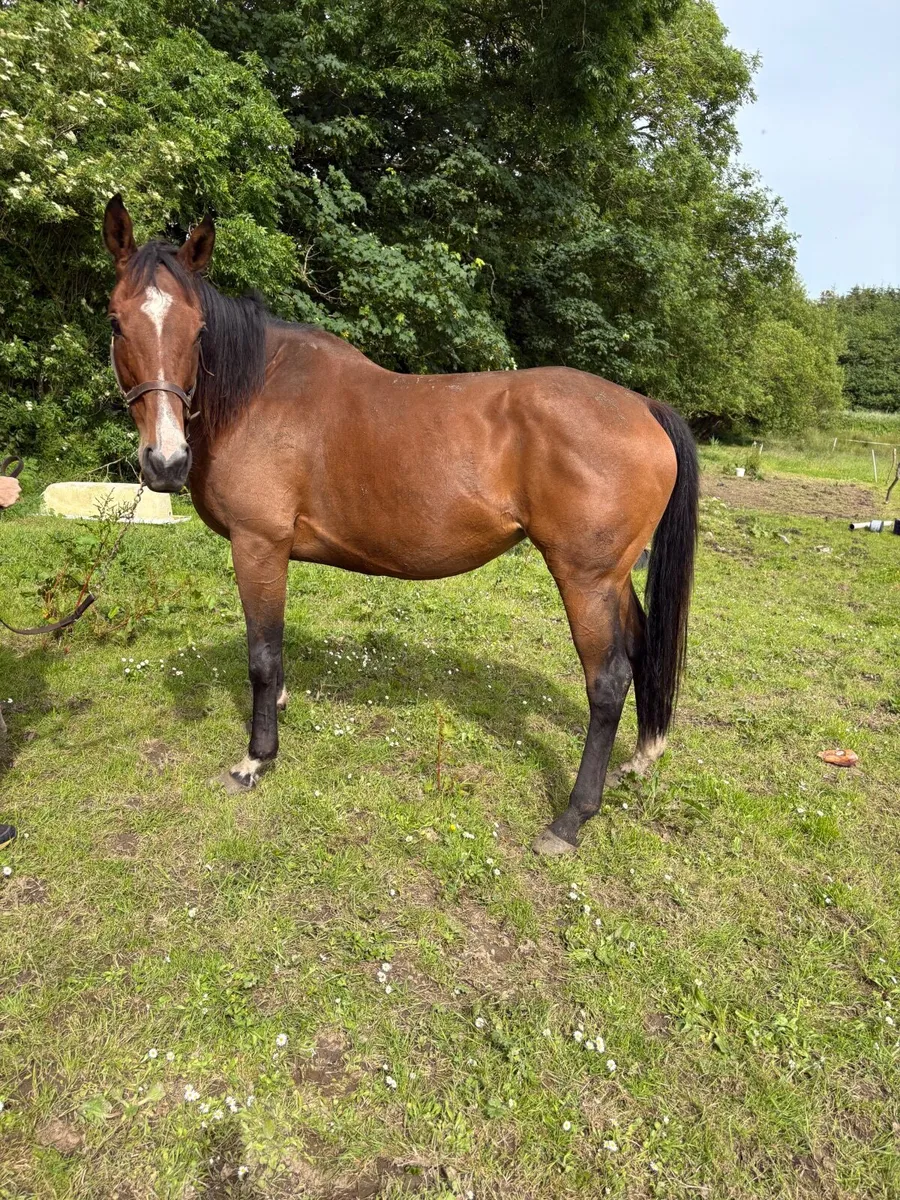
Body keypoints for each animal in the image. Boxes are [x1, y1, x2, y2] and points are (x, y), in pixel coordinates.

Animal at [102, 195, 698, 856]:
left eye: (199, 330)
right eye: (116, 323)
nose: (165, 462)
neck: (257, 391)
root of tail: (643, 406)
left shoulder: (258, 544)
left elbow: (261, 653)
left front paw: (256, 759)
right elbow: (274, 656)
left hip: (586, 580)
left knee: (609, 680)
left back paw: (571, 818)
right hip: (614, 579)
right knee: (642, 648)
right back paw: (639, 760)